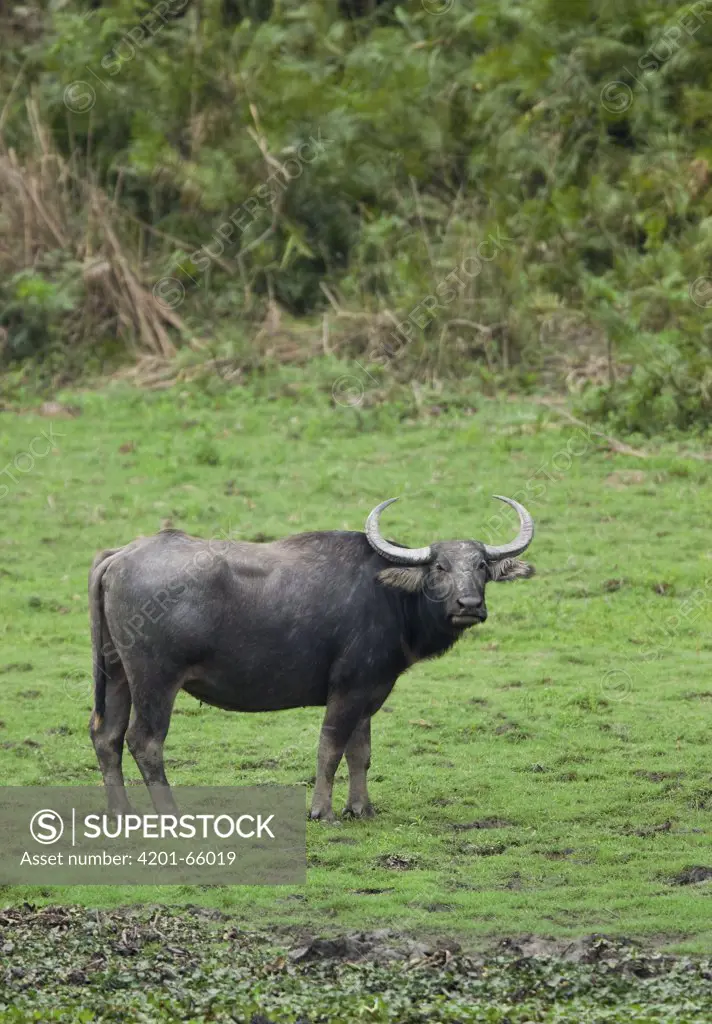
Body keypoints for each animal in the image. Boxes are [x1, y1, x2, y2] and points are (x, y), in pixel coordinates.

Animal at [89, 491, 532, 819]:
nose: (469, 604)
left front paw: (361, 808)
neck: (390, 597)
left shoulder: (369, 690)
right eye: (439, 567)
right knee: (144, 741)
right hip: (155, 679)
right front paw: (322, 811)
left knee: (106, 735)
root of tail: (119, 556)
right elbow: (330, 750)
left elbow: (360, 753)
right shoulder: (347, 690)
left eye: (481, 565)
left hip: (115, 672)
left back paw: (121, 811)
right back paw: (170, 814)